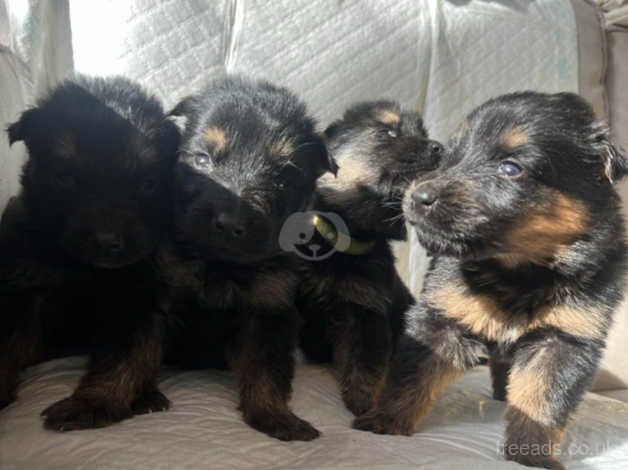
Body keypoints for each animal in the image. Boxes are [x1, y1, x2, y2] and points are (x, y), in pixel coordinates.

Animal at [0, 76, 179, 430]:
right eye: (64, 177)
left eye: (148, 184)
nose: (108, 243)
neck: (83, 267)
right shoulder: (21, 290)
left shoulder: (134, 299)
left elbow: (124, 357)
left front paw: (92, 404)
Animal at [159, 76, 334, 440]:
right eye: (202, 159)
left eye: (282, 177)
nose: (229, 223)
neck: (221, 264)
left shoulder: (269, 309)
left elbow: (266, 370)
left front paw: (274, 417)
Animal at [296, 102, 444, 414]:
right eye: (388, 132)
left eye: (424, 133)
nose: (440, 148)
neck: (345, 242)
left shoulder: (366, 310)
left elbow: (366, 363)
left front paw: (362, 403)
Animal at [354, 90, 628, 468]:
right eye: (449, 158)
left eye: (510, 168)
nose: (416, 198)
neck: (518, 273)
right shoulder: (441, 318)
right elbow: (410, 378)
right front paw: (384, 423)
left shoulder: (563, 340)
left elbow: (540, 401)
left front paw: (529, 456)